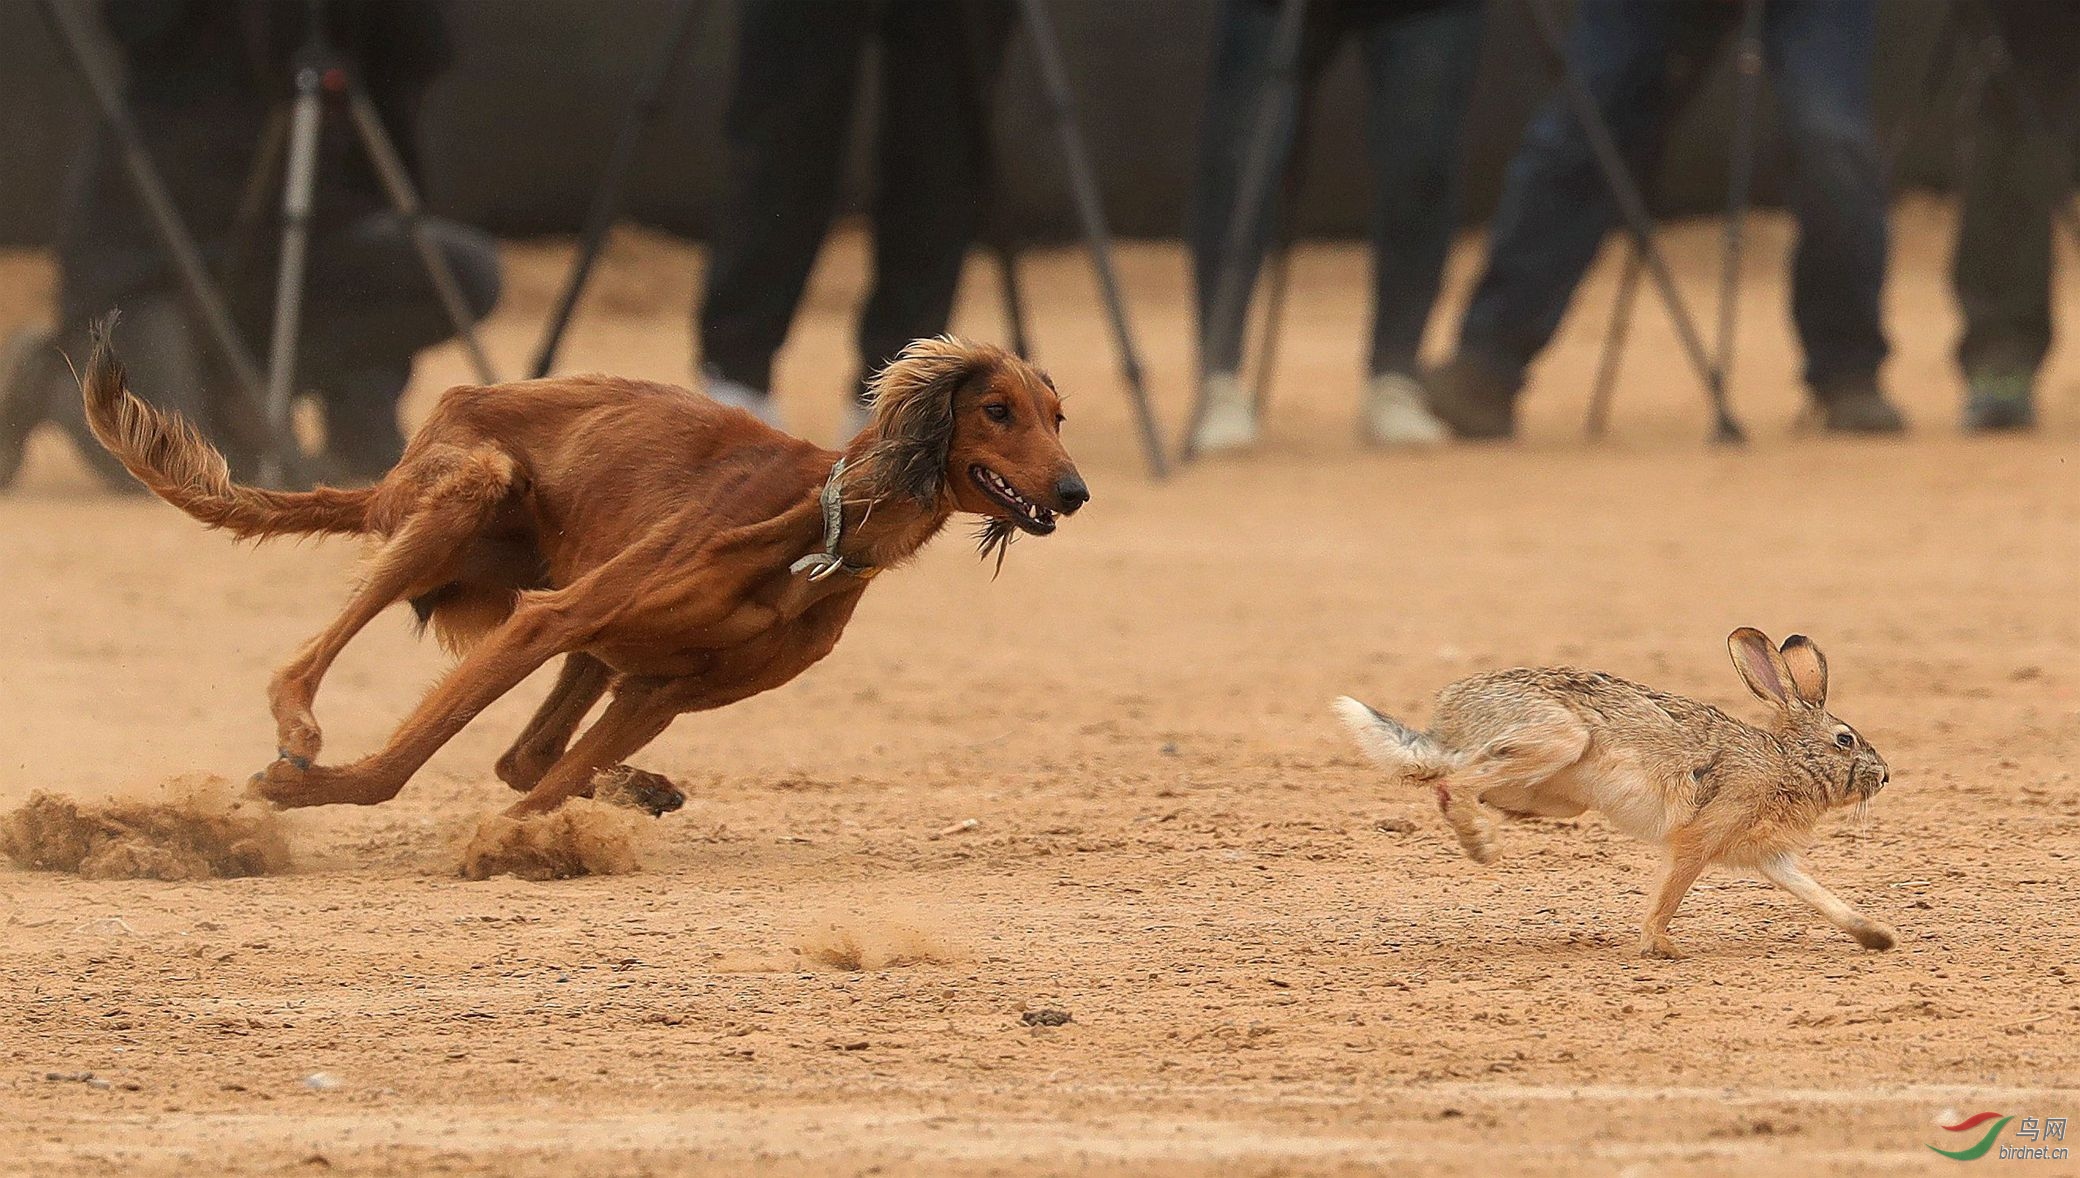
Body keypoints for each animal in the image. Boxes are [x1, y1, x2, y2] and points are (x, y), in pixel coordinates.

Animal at [81, 322, 1089, 820]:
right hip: (469, 496)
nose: (1075, 492)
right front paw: (299, 789)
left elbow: (542, 786)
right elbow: (401, 767)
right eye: (995, 410)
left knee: (525, 756)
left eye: (1057, 415)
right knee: (301, 666)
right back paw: (297, 735)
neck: (824, 528)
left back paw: (637, 792)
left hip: (592, 638)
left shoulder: (661, 690)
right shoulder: (550, 618)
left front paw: (542, 833)